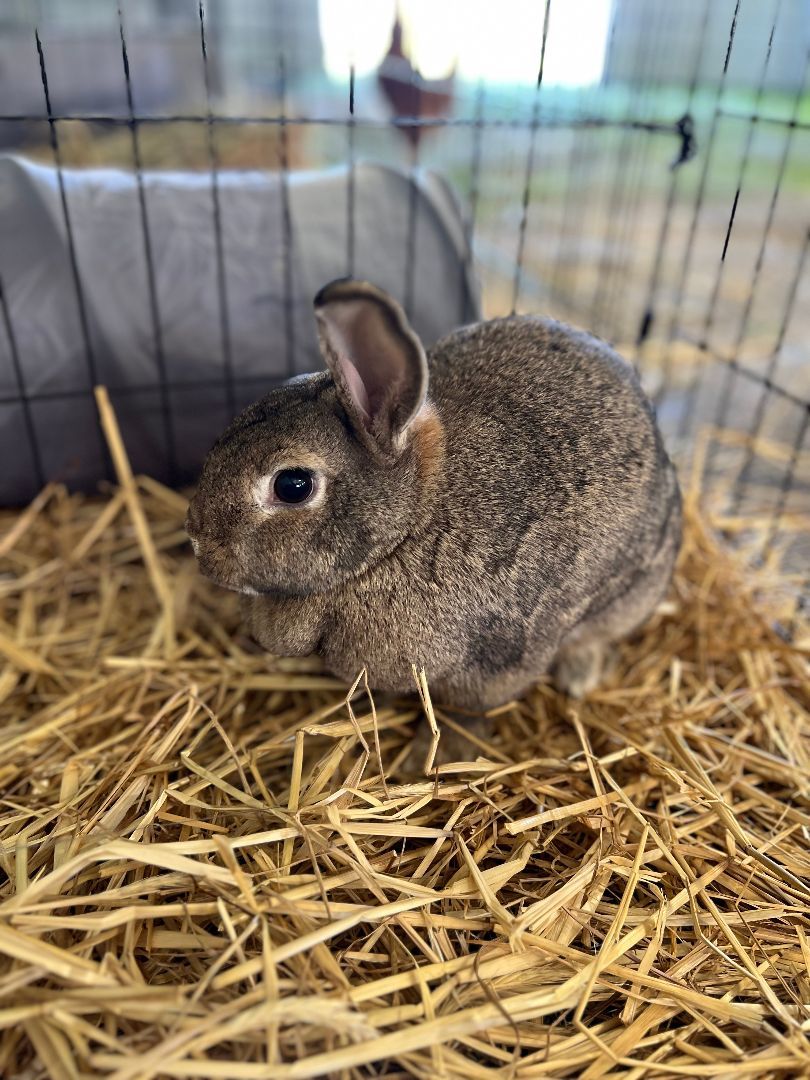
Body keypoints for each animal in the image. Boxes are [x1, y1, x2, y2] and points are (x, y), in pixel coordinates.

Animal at [186, 278, 681, 747]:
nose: (198, 543)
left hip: (629, 595)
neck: (409, 527)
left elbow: (467, 710)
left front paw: (436, 754)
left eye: (293, 485)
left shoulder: (496, 662)